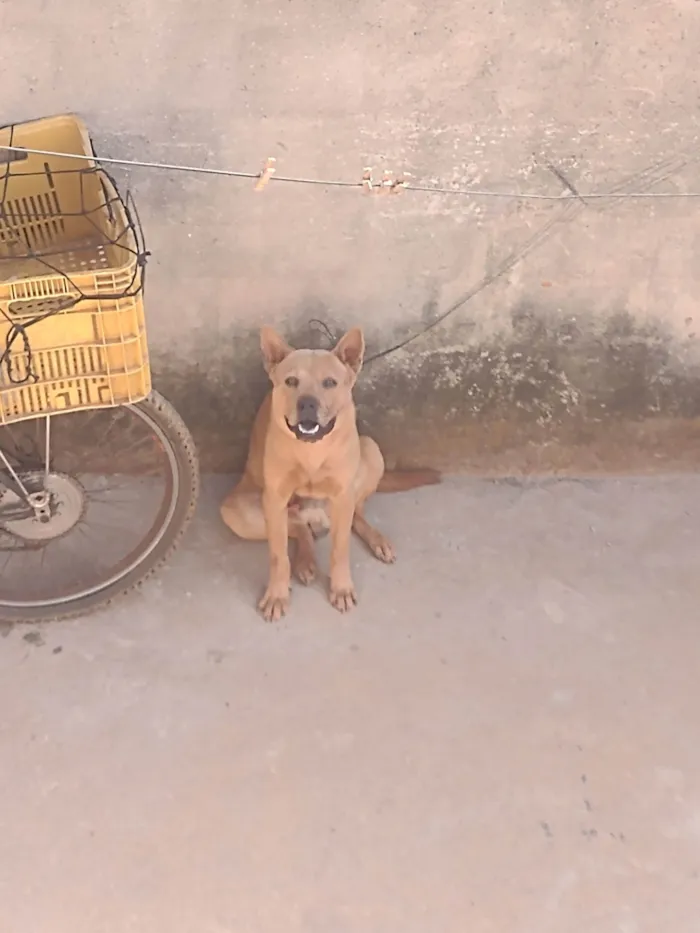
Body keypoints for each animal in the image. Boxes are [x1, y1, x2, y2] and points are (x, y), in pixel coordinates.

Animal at [220, 328, 438, 620]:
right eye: (291, 381)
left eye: (329, 382)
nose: (307, 404)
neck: (312, 449)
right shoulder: (275, 499)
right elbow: (278, 555)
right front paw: (277, 594)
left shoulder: (343, 495)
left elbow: (340, 549)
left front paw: (341, 588)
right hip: (236, 510)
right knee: (298, 527)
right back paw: (305, 561)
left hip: (371, 451)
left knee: (355, 516)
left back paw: (376, 539)